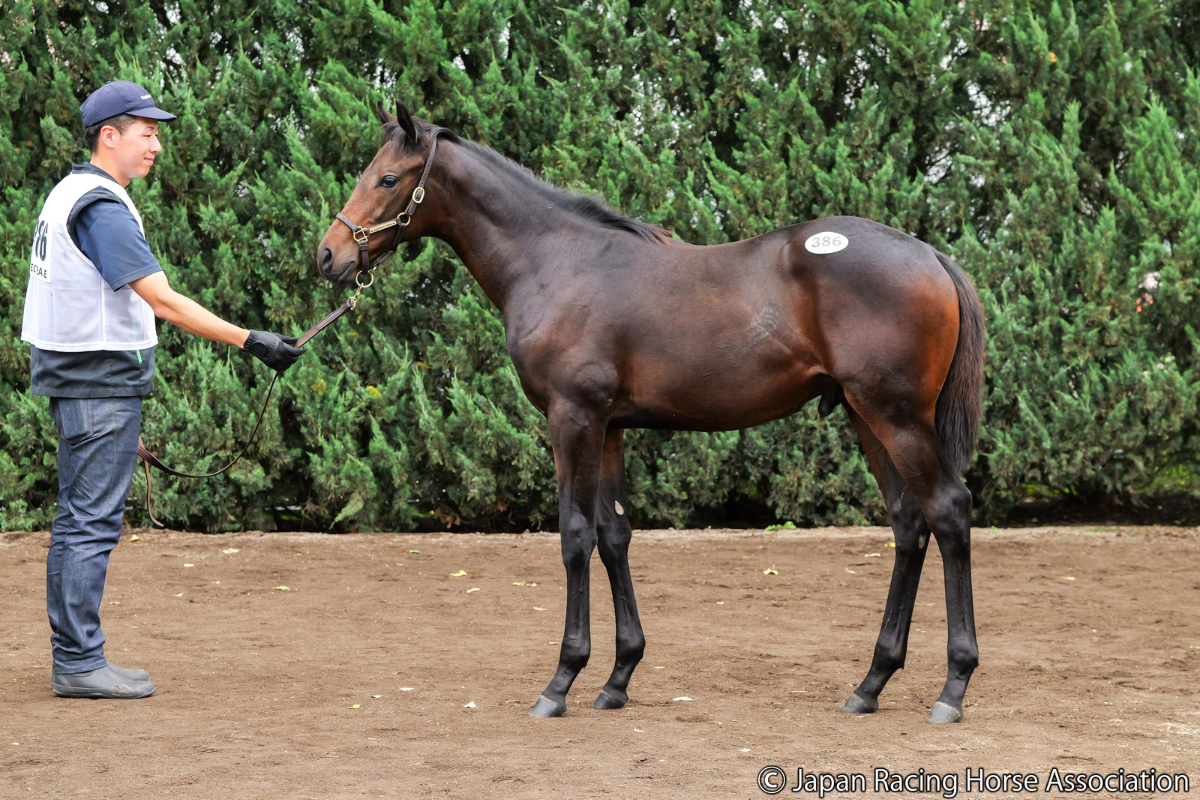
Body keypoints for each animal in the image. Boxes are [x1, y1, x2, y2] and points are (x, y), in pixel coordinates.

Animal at [317, 101, 986, 724]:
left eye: (387, 178)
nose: (328, 255)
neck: (557, 262)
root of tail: (929, 254)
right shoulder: (609, 428)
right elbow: (615, 536)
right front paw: (617, 678)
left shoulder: (573, 420)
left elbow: (575, 536)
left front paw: (561, 681)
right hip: (866, 417)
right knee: (908, 523)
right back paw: (870, 683)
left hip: (896, 415)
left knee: (948, 511)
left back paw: (953, 687)